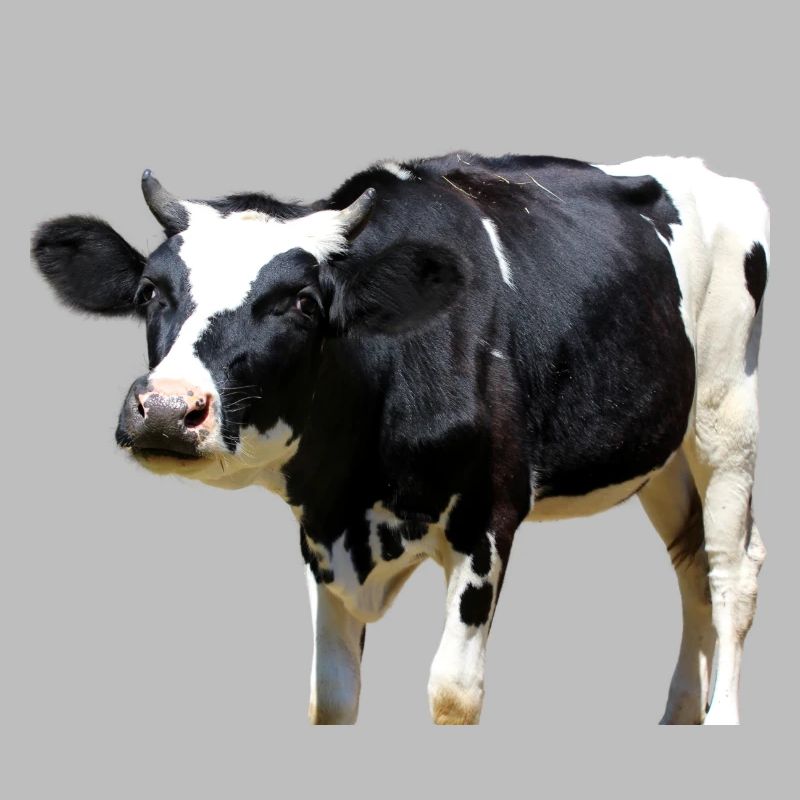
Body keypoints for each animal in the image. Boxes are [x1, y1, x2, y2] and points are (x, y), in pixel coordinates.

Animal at [31, 153, 769, 725]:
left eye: (302, 303)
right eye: (150, 291)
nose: (164, 408)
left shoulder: (489, 518)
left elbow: (452, 692)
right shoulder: (320, 531)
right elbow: (331, 695)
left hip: (726, 415)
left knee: (730, 570)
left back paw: (721, 717)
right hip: (662, 455)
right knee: (691, 567)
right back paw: (679, 715)